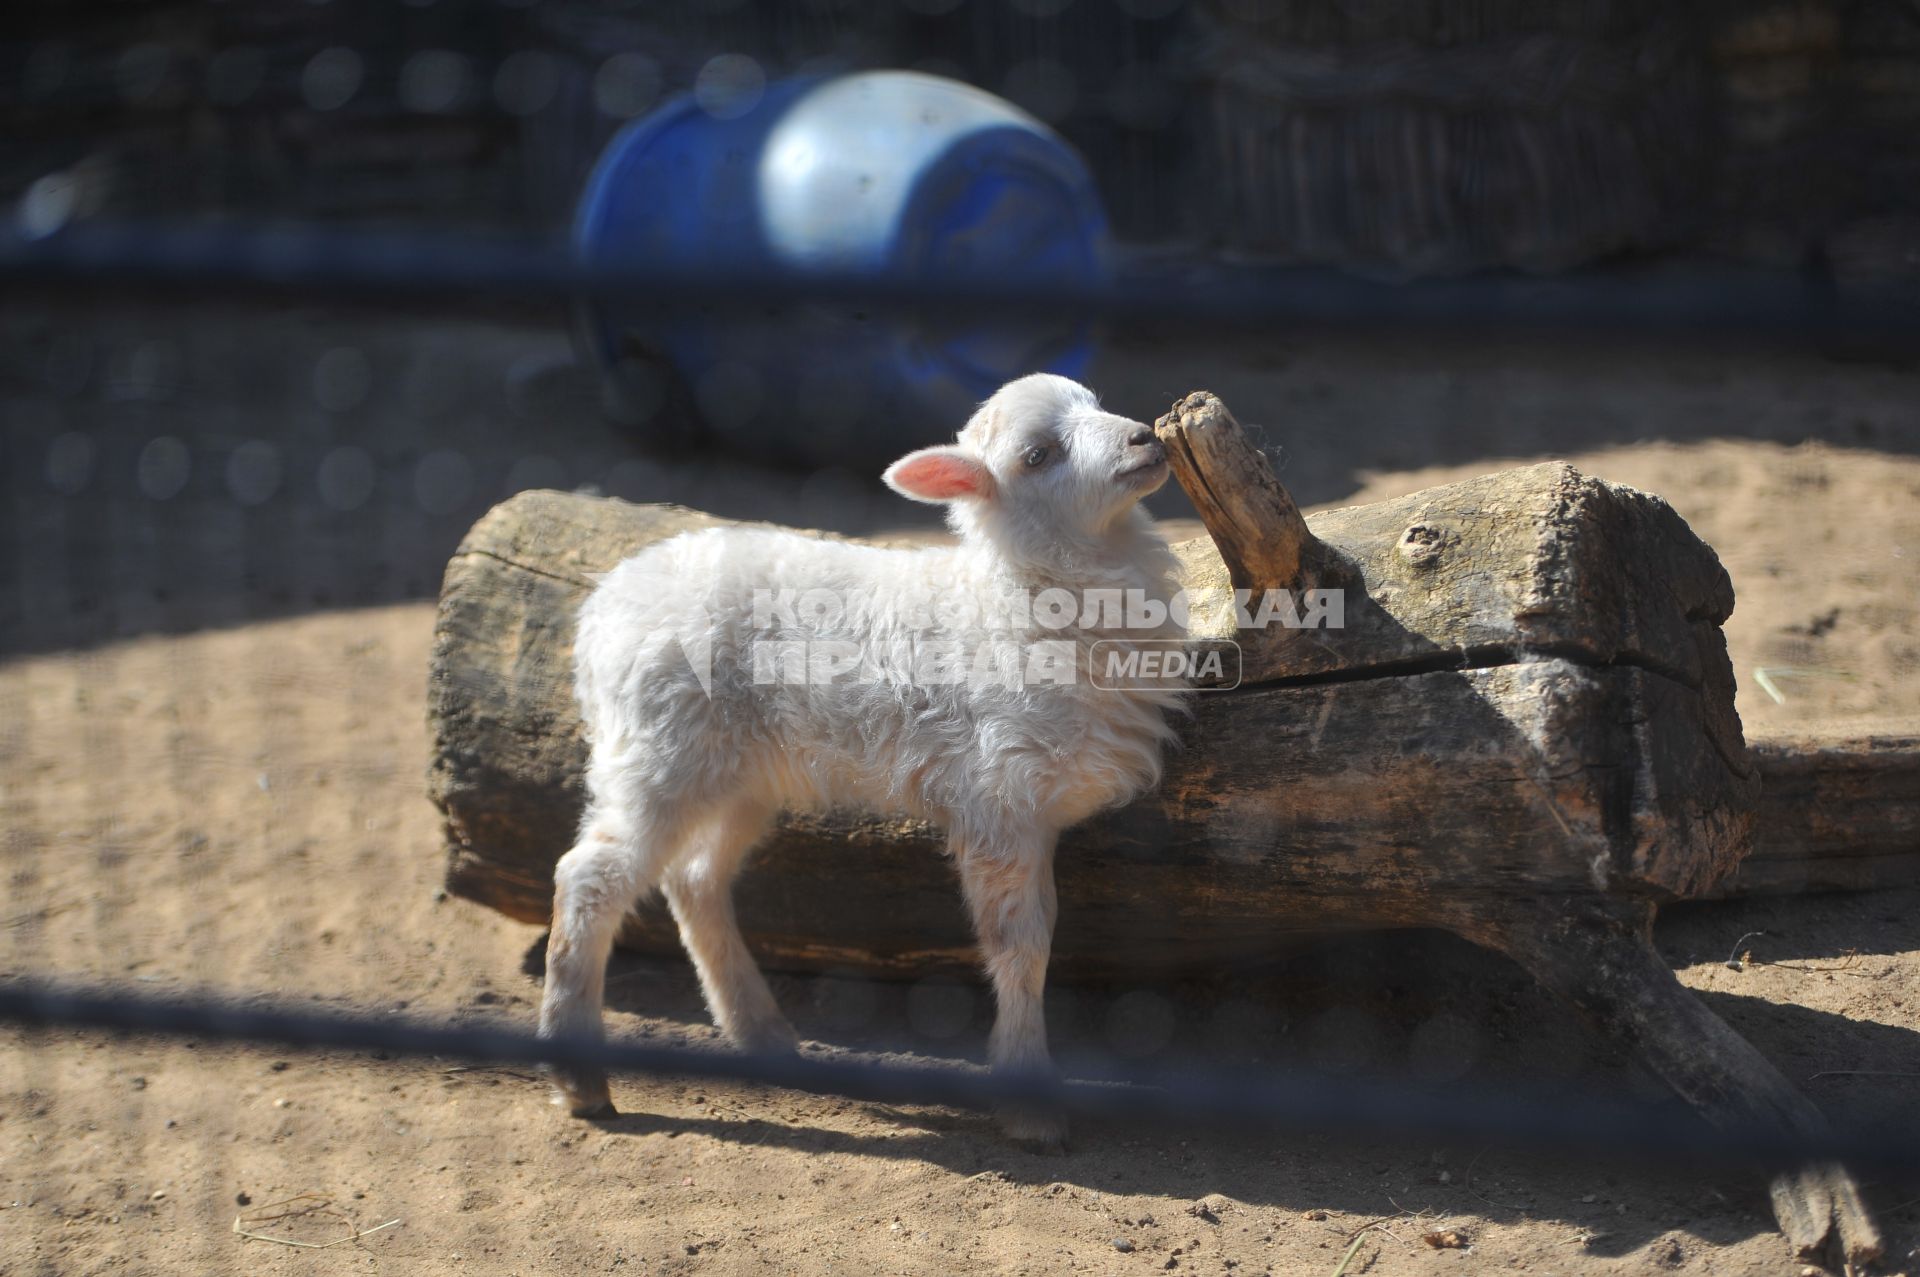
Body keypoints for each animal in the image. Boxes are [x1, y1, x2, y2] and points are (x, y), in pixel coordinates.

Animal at [541, 370, 1182, 1144]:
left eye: (1095, 403)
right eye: (1038, 455)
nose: (1144, 437)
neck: (1014, 598)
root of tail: (603, 606)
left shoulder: (1034, 808)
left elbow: (1037, 936)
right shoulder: (999, 795)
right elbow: (1020, 948)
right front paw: (1029, 1104)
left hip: (737, 774)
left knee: (694, 880)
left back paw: (761, 1033)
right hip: (657, 752)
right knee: (589, 877)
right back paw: (579, 1077)